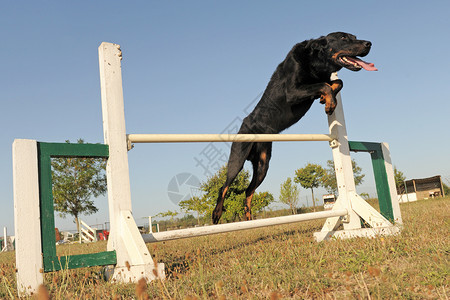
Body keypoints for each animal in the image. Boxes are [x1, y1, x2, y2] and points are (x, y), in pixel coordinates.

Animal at [212, 31, 376, 224]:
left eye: (355, 37)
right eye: (343, 38)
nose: (369, 43)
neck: (315, 61)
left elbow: (337, 82)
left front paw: (327, 100)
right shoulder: (292, 91)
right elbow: (324, 85)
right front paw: (329, 104)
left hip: (262, 164)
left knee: (248, 190)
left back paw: (249, 217)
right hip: (238, 157)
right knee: (224, 186)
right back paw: (216, 214)